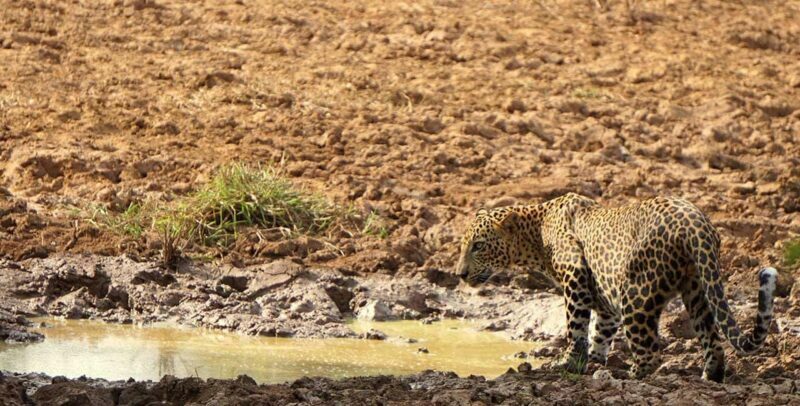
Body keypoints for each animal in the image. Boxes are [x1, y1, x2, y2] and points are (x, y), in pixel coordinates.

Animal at [455, 193, 778, 382]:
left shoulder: (575, 276)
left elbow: (576, 327)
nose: (459, 274)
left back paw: (628, 377)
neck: (535, 231)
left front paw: (569, 364)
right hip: (698, 288)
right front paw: (595, 361)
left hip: (637, 293)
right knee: (712, 338)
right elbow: (601, 331)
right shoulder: (603, 299)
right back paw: (710, 376)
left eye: (478, 246)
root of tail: (695, 222)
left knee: (649, 351)